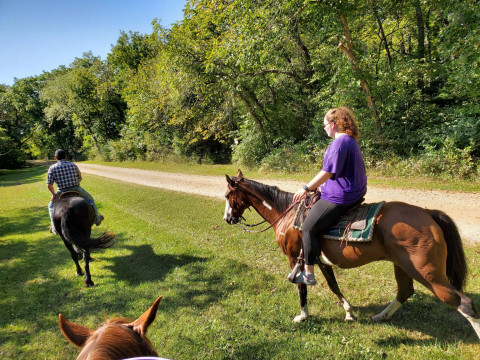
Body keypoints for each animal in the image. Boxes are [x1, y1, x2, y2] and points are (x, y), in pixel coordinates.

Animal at [224, 170, 480, 338]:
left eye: (227, 196)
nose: (228, 219)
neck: (286, 215)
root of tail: (428, 213)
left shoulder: (295, 257)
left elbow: (302, 287)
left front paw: (303, 315)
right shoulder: (318, 259)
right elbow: (333, 285)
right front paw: (348, 312)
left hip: (428, 272)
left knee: (463, 302)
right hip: (403, 266)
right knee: (405, 292)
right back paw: (380, 316)